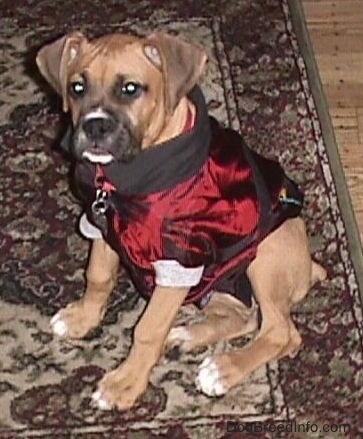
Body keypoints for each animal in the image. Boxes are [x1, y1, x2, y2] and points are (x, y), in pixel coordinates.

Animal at [36, 31, 328, 412]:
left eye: (130, 89)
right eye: (77, 87)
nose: (94, 125)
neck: (124, 178)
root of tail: (309, 268)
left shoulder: (178, 260)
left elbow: (147, 329)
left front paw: (125, 383)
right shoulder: (99, 223)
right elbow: (97, 277)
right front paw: (82, 318)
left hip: (265, 253)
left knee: (281, 332)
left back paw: (223, 369)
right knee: (248, 317)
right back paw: (190, 335)